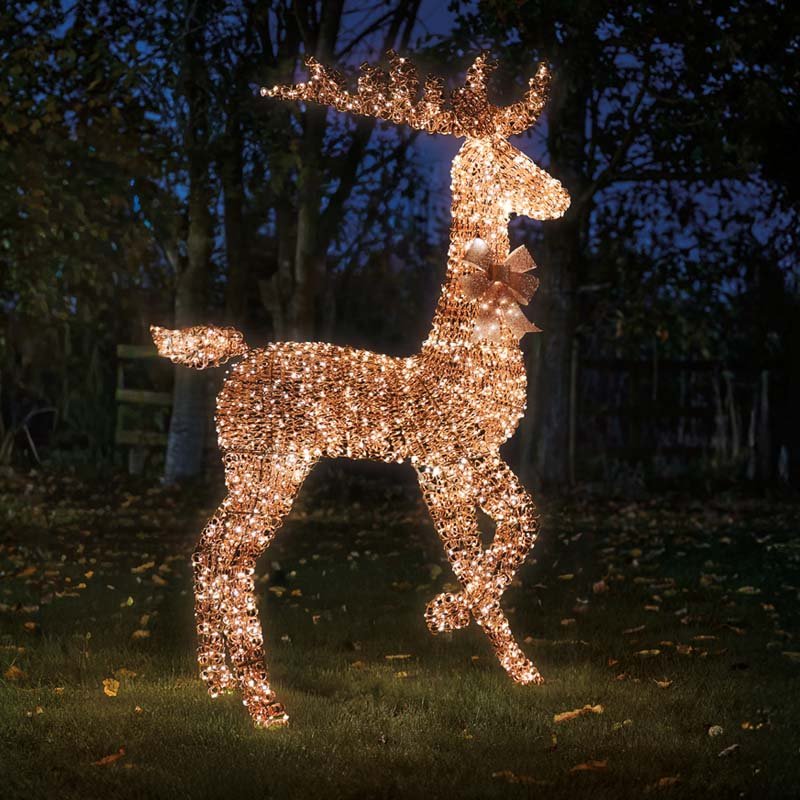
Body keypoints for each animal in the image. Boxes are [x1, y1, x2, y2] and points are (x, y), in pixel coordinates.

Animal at [151, 52, 570, 727]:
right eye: (507, 157)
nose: (560, 197)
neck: (465, 356)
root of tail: (235, 360)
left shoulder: (458, 462)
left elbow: (499, 535)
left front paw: (520, 668)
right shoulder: (451, 455)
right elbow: (502, 534)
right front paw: (447, 614)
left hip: (247, 468)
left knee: (211, 550)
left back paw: (218, 685)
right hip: (274, 464)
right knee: (233, 557)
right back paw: (264, 706)